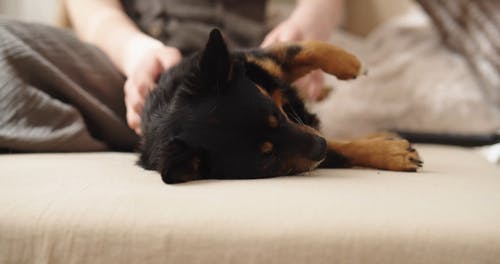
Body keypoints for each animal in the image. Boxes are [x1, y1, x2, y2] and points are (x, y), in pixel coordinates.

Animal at [138, 28, 422, 184]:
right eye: (268, 156)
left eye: (276, 115)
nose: (320, 146)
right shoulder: (313, 154)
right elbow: (342, 149)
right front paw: (392, 153)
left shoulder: (259, 61)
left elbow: (306, 48)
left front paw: (351, 63)